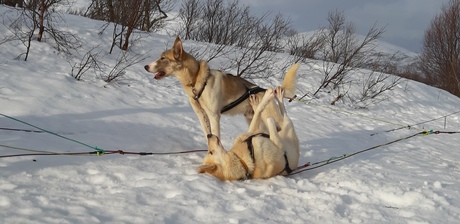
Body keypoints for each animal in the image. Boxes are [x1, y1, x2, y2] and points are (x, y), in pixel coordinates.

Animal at [146, 36, 300, 138]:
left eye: (163, 58)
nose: (145, 66)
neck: (196, 81)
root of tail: (268, 91)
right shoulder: (201, 115)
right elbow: (208, 136)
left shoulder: (214, 116)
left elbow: (216, 136)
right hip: (256, 120)